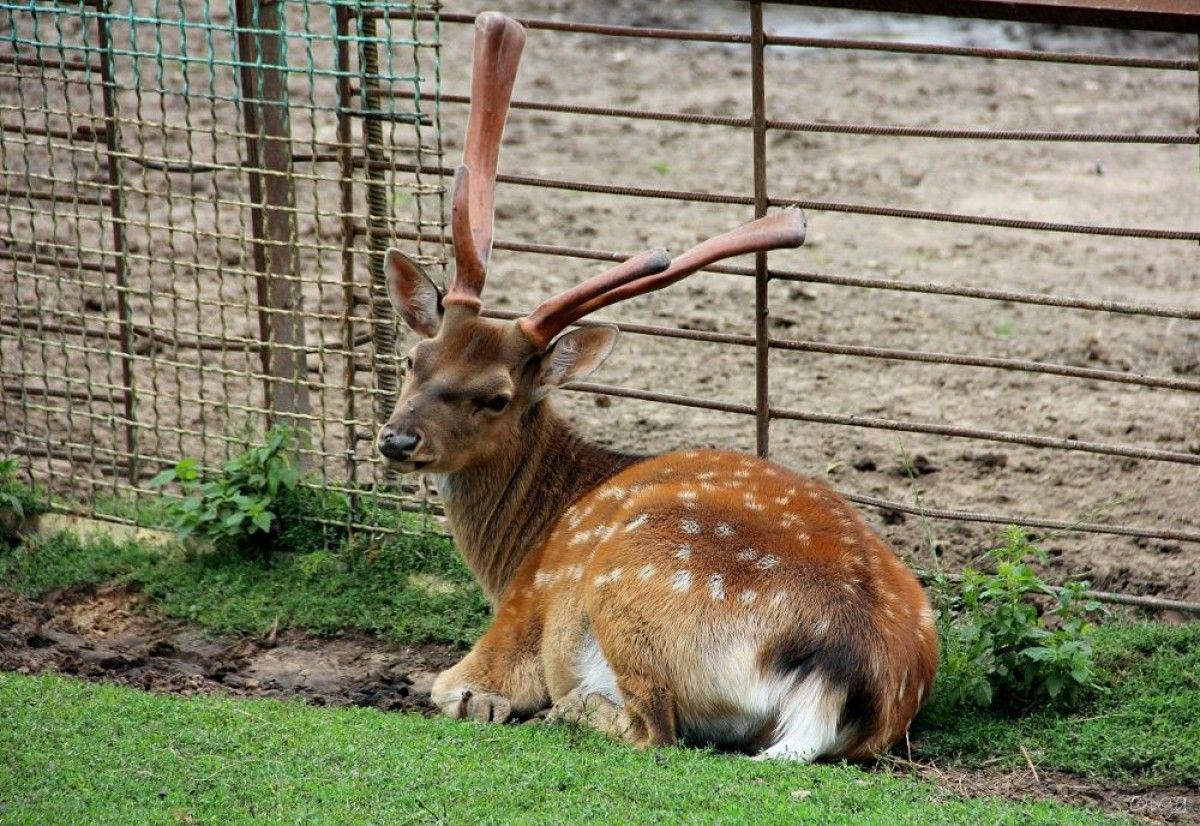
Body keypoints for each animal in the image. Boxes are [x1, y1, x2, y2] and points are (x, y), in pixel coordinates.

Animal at [379, 11, 940, 763]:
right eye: (415, 357)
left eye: (496, 396)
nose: (396, 440)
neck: (517, 550)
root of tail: (837, 669)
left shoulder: (516, 625)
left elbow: (463, 692)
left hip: (631, 582)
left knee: (656, 731)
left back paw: (570, 711)